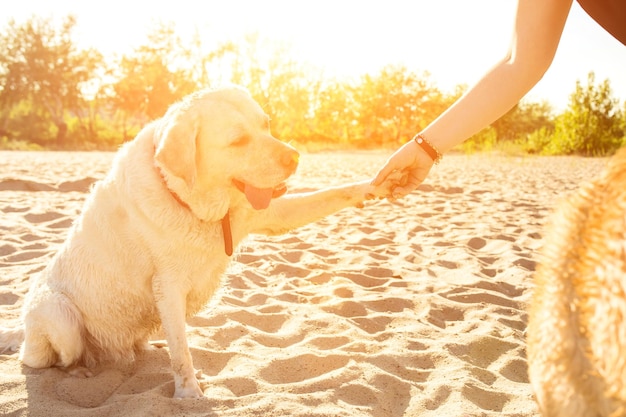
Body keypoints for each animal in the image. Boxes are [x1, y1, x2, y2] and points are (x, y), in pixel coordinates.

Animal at [0, 86, 400, 398]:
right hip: (59, 316)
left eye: (266, 125)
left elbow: (332, 194)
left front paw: (376, 184)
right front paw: (189, 394)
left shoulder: (269, 214)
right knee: (41, 360)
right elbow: (183, 353)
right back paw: (79, 369)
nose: (294, 157)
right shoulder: (168, 285)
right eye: (238, 140)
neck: (192, 202)